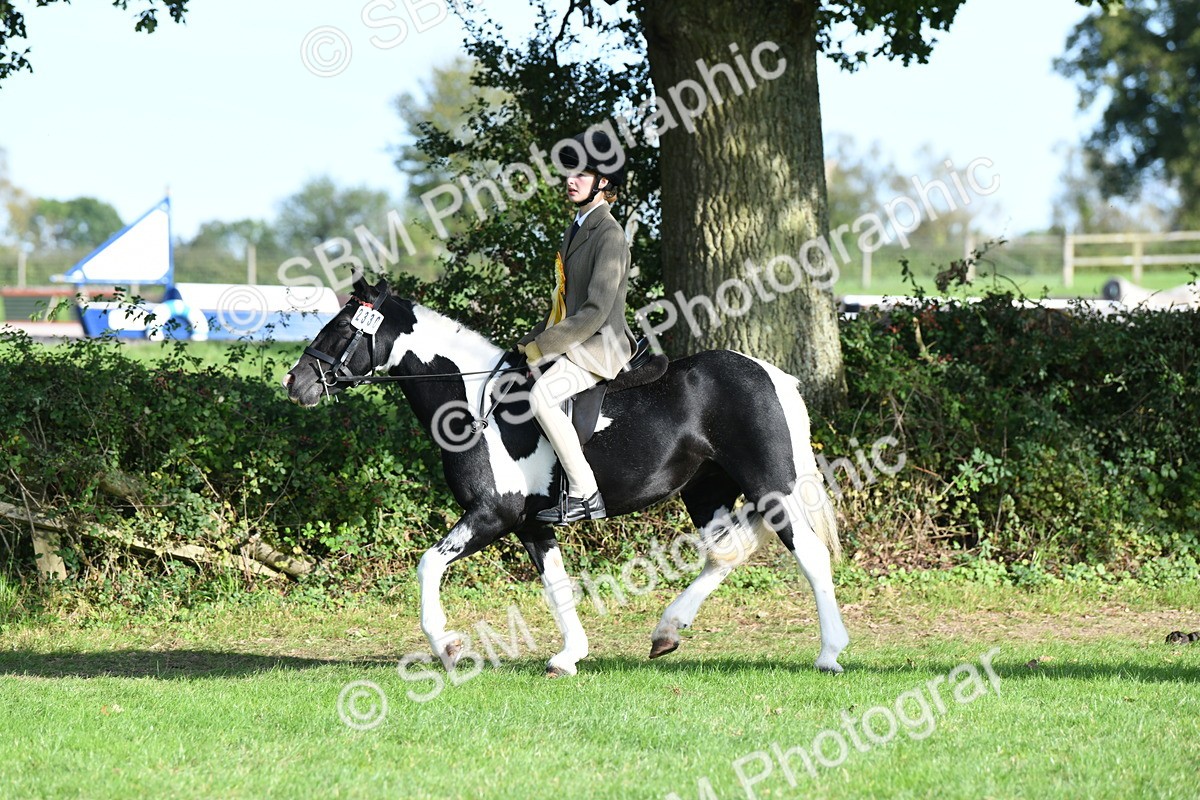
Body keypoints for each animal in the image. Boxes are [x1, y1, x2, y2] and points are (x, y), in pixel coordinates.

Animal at [282, 275, 850, 677]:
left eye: (342, 328)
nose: (295, 383)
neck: (473, 402)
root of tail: (768, 372)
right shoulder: (532, 524)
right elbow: (556, 585)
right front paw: (569, 655)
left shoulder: (492, 515)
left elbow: (428, 564)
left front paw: (447, 646)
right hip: (706, 489)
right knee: (725, 553)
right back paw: (667, 630)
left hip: (770, 486)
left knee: (810, 554)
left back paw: (830, 653)